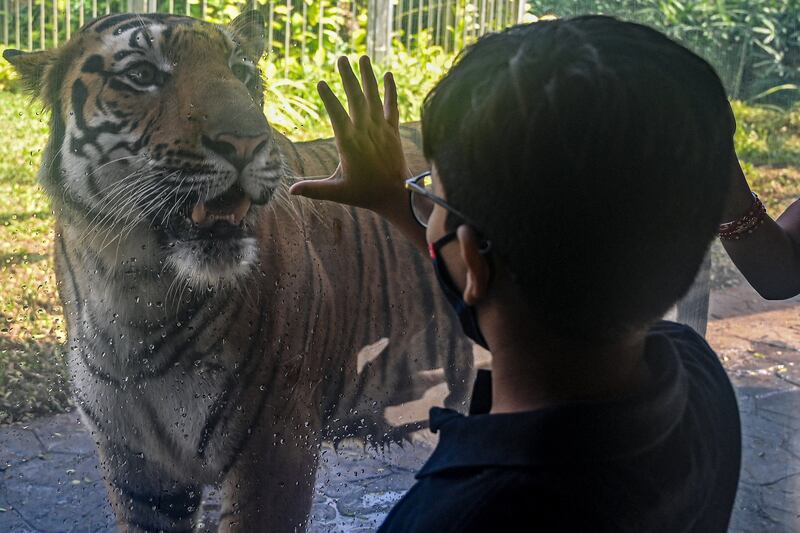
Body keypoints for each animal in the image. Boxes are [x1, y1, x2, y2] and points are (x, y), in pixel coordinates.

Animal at [4, 10, 476, 528]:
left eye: (243, 74)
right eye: (142, 75)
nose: (248, 143)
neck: (133, 288)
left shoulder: (274, 445)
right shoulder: (135, 464)